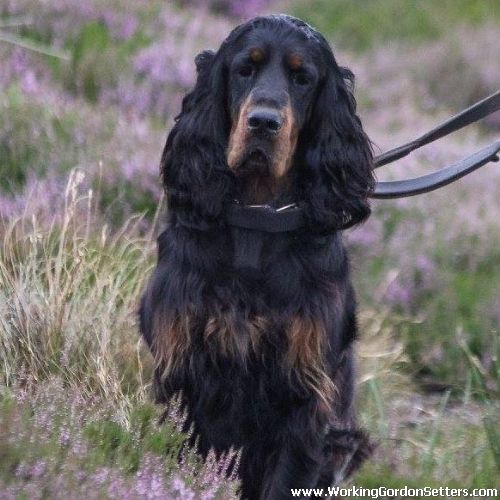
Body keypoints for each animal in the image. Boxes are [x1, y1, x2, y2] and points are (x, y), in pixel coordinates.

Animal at [141, 14, 376, 500]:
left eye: (303, 78)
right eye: (244, 69)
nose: (264, 123)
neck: (257, 216)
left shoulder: (305, 396)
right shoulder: (179, 373)